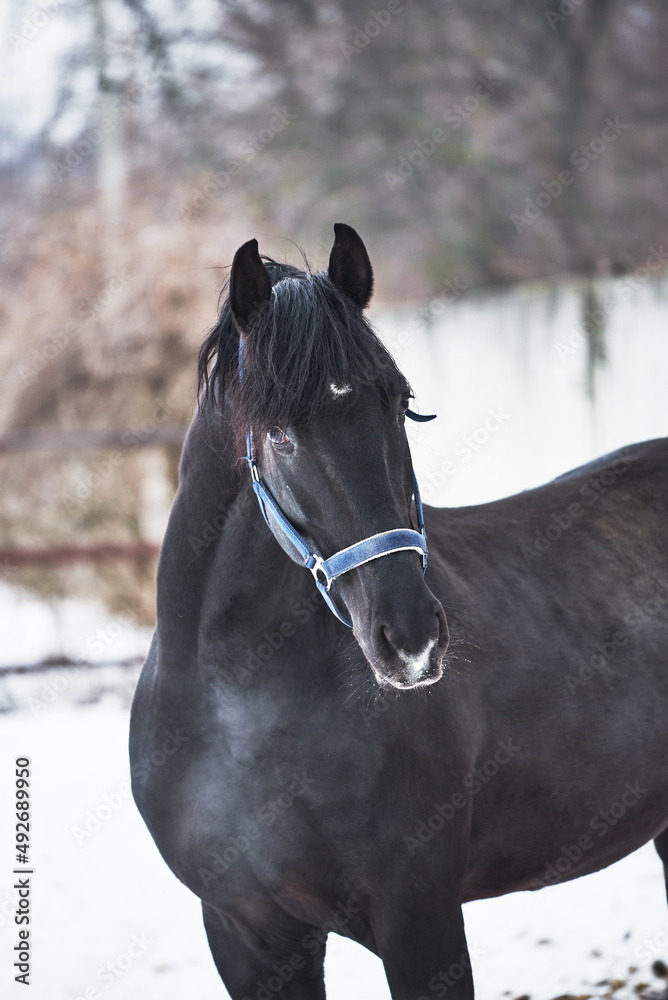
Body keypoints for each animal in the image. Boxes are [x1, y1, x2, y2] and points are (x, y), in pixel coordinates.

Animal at [130, 223, 668, 999]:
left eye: (398, 403)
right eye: (280, 433)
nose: (411, 639)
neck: (238, 718)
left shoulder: (420, 920)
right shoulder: (246, 937)